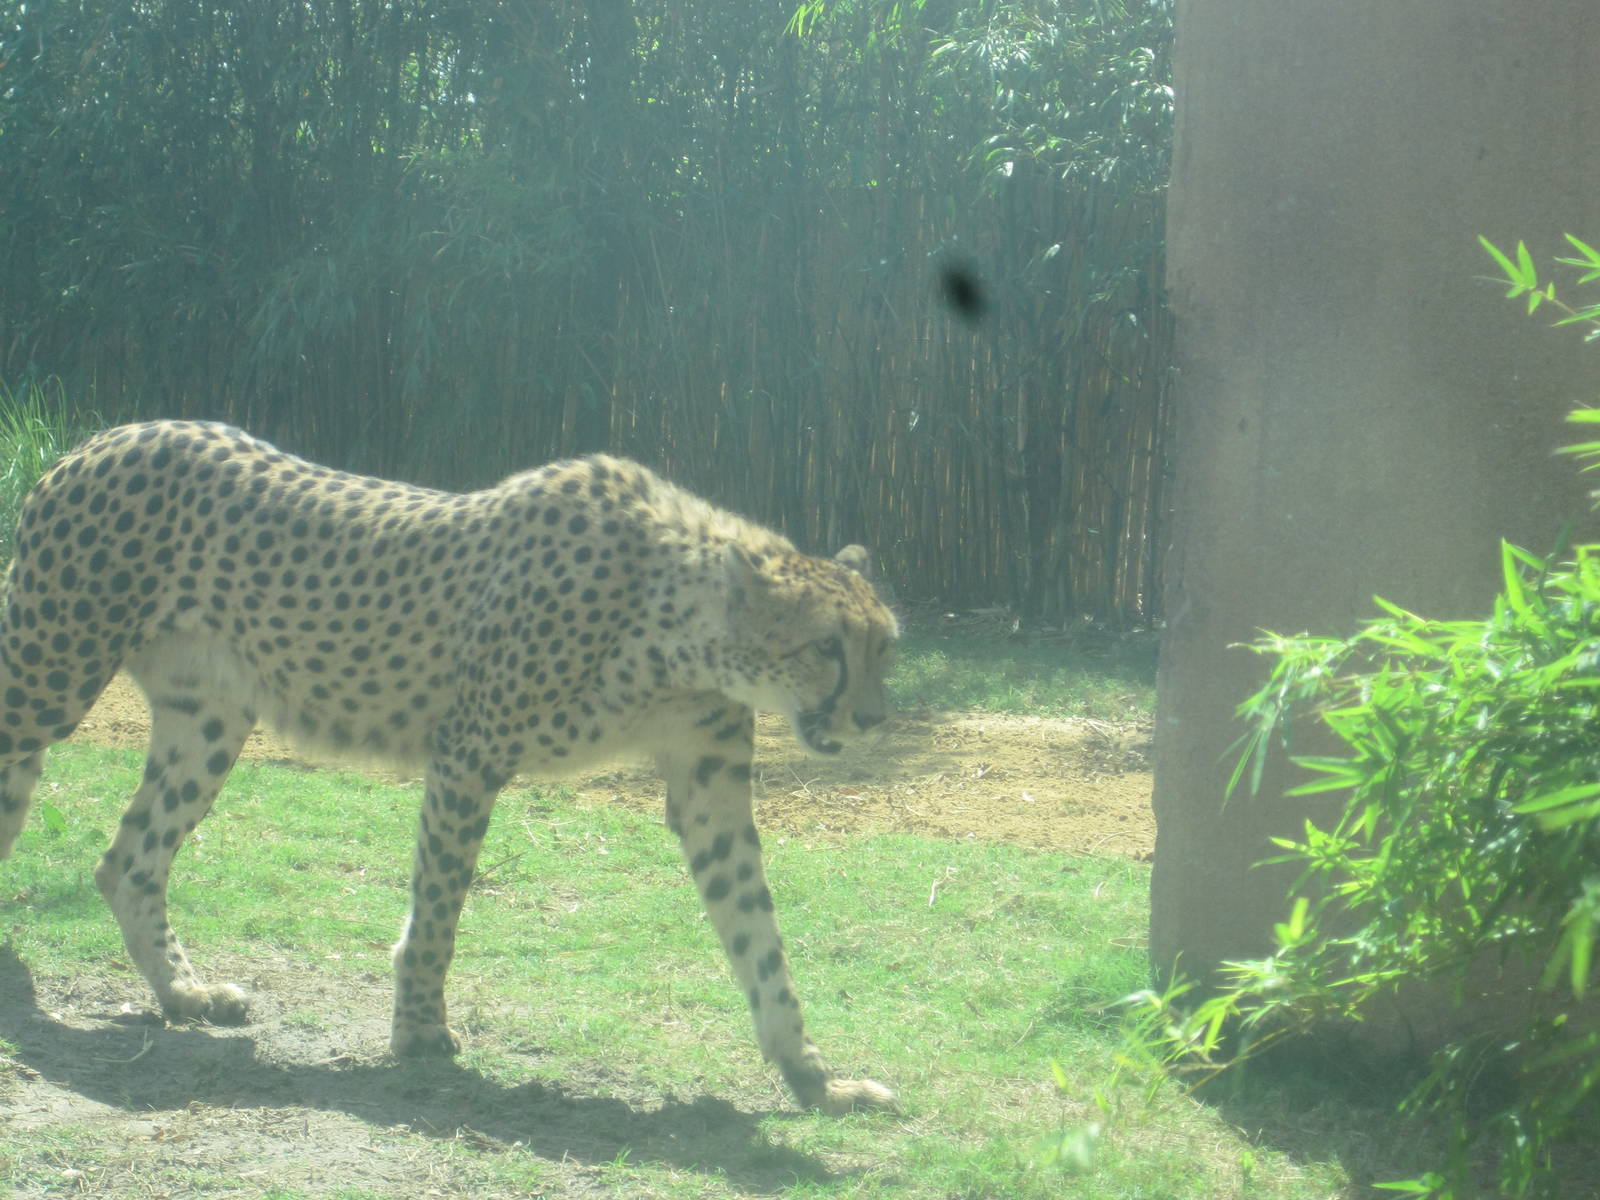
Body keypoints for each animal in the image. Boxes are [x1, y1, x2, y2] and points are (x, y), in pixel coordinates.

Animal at [0, 420, 899, 1113]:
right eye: (826, 648)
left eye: (884, 647)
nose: (873, 718)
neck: (676, 623)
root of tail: (103, 436)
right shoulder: (469, 753)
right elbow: (438, 911)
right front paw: (420, 1031)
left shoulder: (710, 789)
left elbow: (760, 938)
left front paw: (816, 1080)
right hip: (46, 678)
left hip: (209, 720)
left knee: (128, 861)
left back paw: (185, 992)